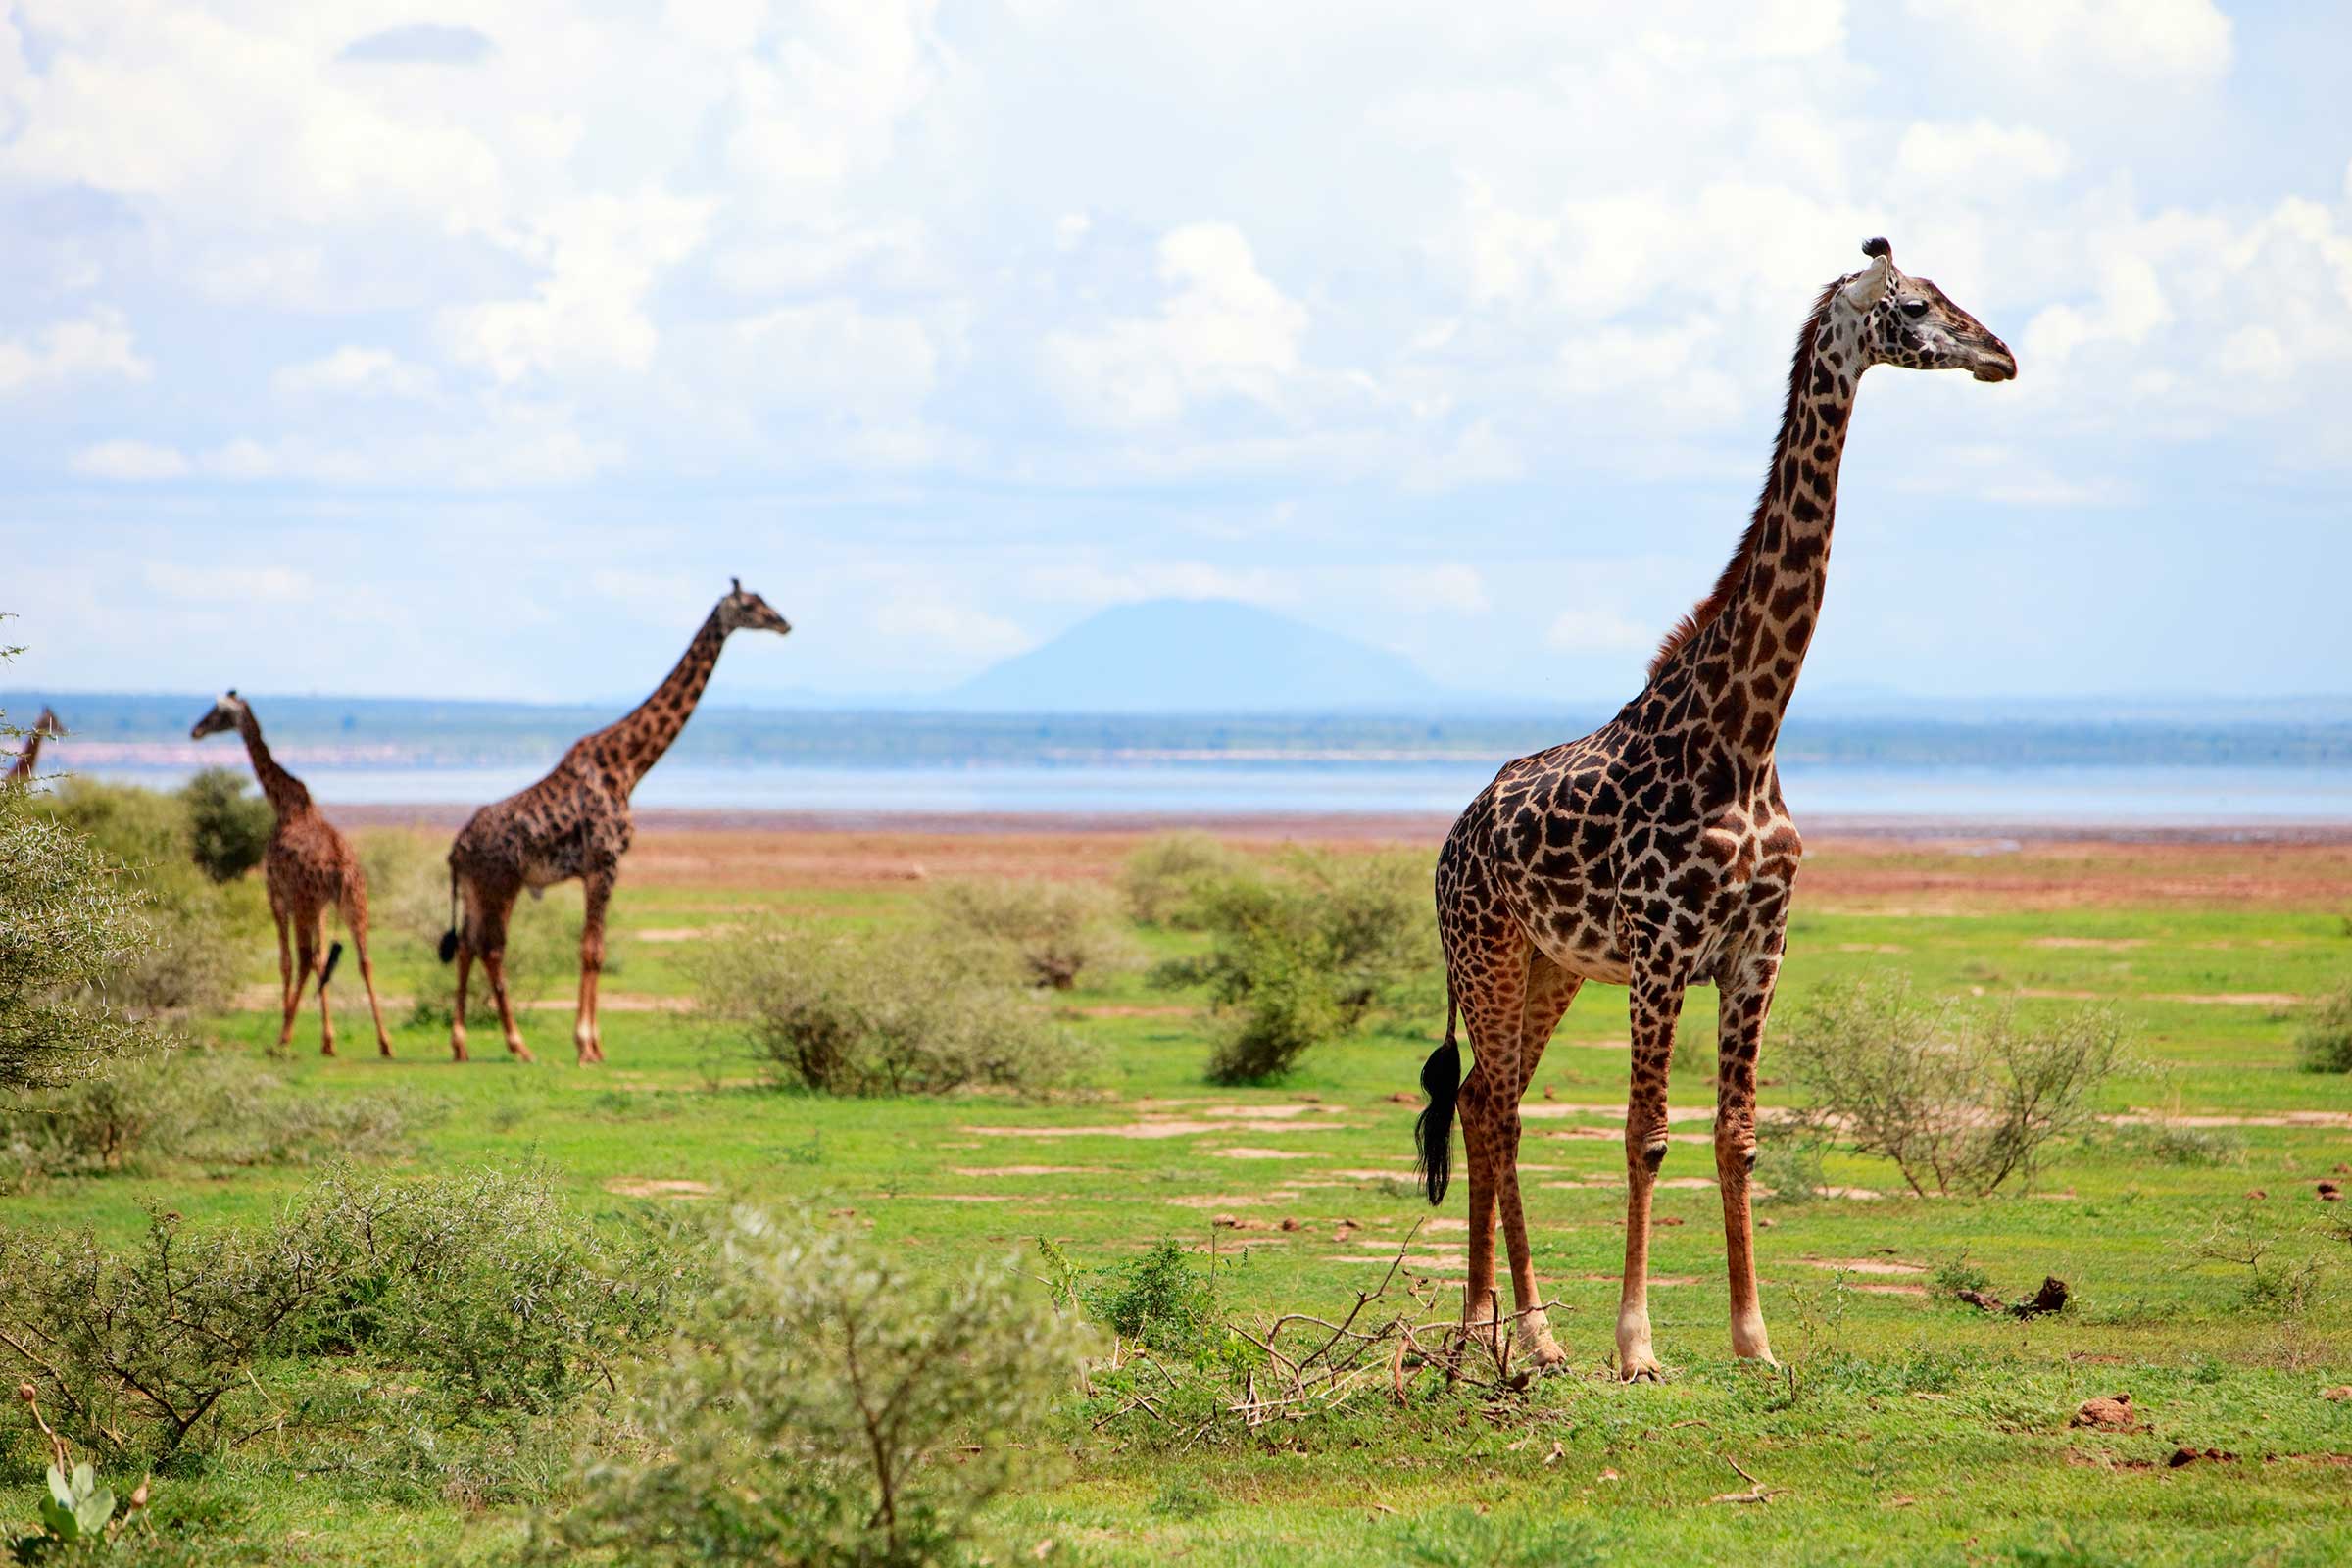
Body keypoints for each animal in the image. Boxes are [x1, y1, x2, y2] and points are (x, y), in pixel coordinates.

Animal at [190, 696, 392, 1053]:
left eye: (218, 712)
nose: (196, 730)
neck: (284, 804)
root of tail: (341, 868)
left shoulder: (276, 893)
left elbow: (286, 961)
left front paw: (296, 1025)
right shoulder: (321, 908)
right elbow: (323, 957)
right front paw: (328, 1039)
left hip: (304, 902)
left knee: (303, 959)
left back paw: (282, 1036)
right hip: (355, 902)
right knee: (363, 960)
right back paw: (384, 1042)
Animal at [442, 582, 800, 1071]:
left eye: (765, 601)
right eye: (750, 605)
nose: (784, 623)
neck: (631, 764)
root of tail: (456, 848)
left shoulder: (601, 869)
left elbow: (596, 948)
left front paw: (593, 1044)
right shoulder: (604, 862)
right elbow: (592, 950)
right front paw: (586, 1046)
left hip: (479, 887)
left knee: (466, 945)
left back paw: (461, 1044)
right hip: (502, 883)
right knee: (492, 948)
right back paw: (518, 1045)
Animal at [1411, 239, 2023, 1382]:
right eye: (1919, 305)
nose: (2002, 354)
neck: (1748, 732)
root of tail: (1451, 838)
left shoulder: (1758, 946)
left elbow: (1736, 1137)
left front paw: (1753, 1341)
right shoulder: (1662, 944)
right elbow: (1646, 1134)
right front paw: (1638, 1348)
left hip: (1555, 967)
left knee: (1488, 1101)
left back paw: (1535, 1335)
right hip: (1488, 953)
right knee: (1491, 1104)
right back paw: (1482, 1330)